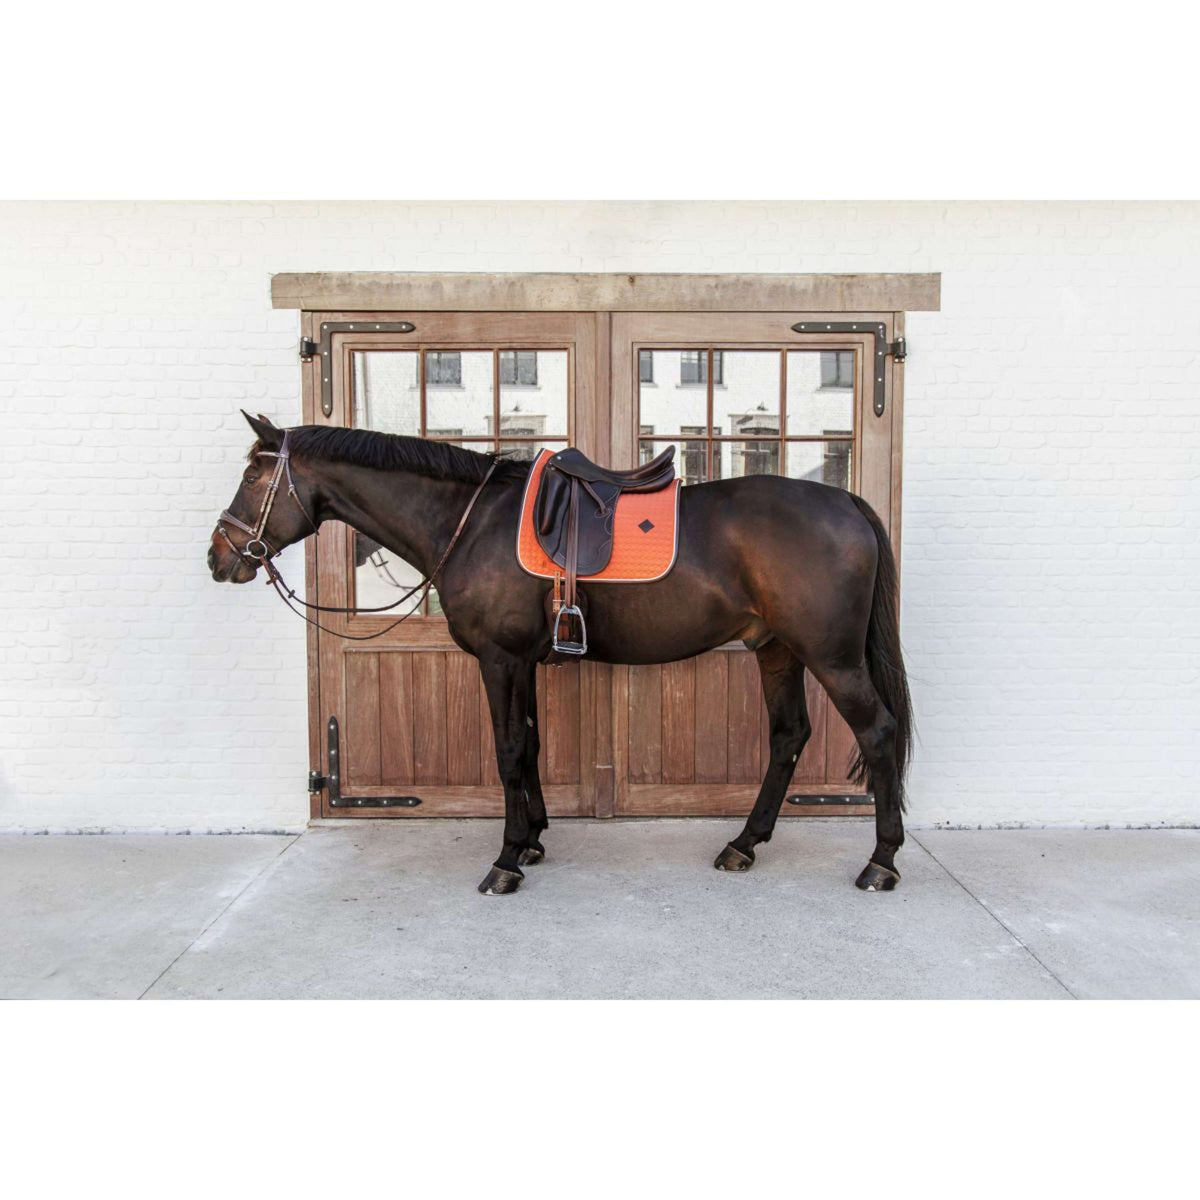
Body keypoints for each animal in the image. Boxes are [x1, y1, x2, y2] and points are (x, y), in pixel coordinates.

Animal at [211, 412, 912, 892]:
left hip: (832, 658)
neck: (472, 522)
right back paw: (744, 843)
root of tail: (846, 499)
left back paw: (880, 861)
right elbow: (530, 744)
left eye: (251, 475)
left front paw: (505, 860)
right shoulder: (521, 662)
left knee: (879, 733)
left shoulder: (499, 659)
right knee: (789, 734)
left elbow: (508, 751)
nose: (219, 557)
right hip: (776, 649)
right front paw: (533, 841)